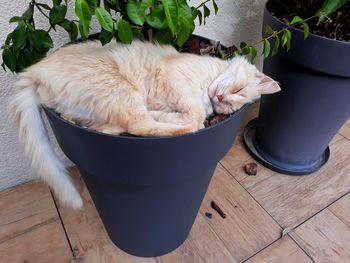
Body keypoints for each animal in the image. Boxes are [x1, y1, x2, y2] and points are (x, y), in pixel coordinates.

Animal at [9, 38, 280, 210]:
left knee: (117, 127)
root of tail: (33, 72)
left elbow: (193, 115)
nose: (222, 99)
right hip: (120, 88)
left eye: (231, 107)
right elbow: (193, 115)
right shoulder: (176, 78)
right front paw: (184, 114)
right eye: (238, 90)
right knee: (142, 124)